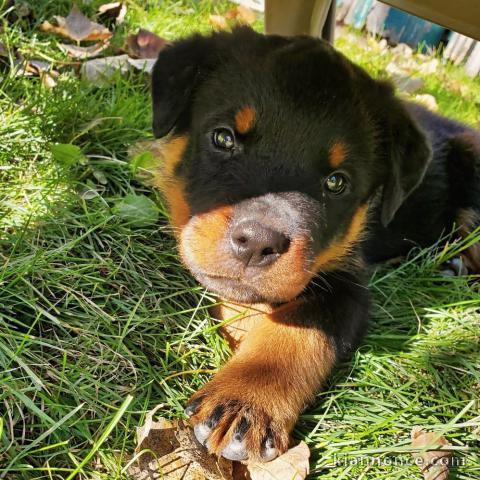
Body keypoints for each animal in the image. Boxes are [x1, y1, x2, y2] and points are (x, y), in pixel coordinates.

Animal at [150, 28, 480, 464]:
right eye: (223, 138)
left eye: (336, 182)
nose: (258, 243)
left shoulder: (347, 284)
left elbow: (300, 329)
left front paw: (244, 403)